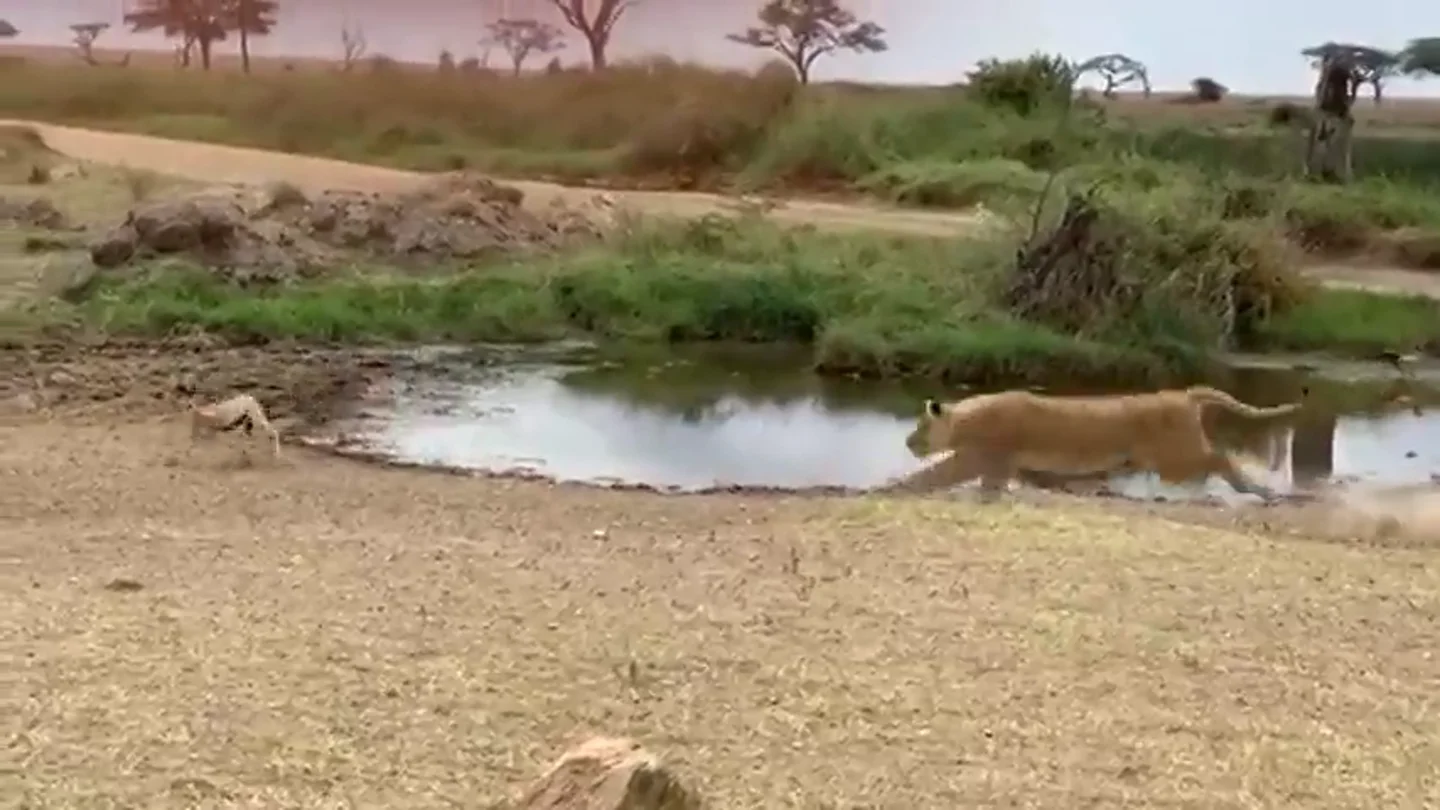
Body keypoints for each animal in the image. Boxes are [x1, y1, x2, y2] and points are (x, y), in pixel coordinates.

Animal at [886, 385, 1305, 502]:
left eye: (920, 426)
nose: (907, 442)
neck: (965, 419)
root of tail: (1184, 393)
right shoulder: (1010, 466)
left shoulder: (977, 459)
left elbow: (931, 476)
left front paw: (887, 488)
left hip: (1177, 458)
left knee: (1222, 459)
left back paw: (1261, 492)